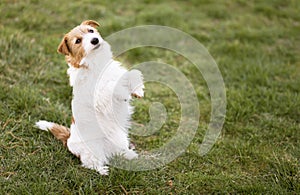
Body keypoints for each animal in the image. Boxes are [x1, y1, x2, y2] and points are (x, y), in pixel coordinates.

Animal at [35, 20, 145, 175]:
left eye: (91, 31)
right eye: (78, 41)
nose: (95, 40)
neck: (96, 63)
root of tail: (68, 139)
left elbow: (133, 73)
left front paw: (137, 90)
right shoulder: (100, 97)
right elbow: (110, 87)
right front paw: (124, 91)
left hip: (120, 137)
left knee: (118, 151)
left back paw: (129, 154)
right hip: (93, 149)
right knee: (89, 163)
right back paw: (102, 170)